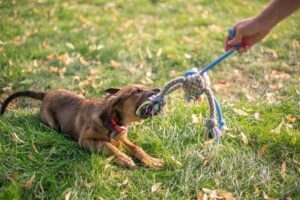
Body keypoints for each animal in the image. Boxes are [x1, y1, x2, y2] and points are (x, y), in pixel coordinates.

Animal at [0, 85, 164, 169]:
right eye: (136, 91)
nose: (158, 89)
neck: (114, 121)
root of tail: (46, 94)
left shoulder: (123, 136)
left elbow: (136, 147)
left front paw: (151, 160)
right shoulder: (85, 140)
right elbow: (108, 146)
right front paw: (123, 158)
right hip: (52, 123)